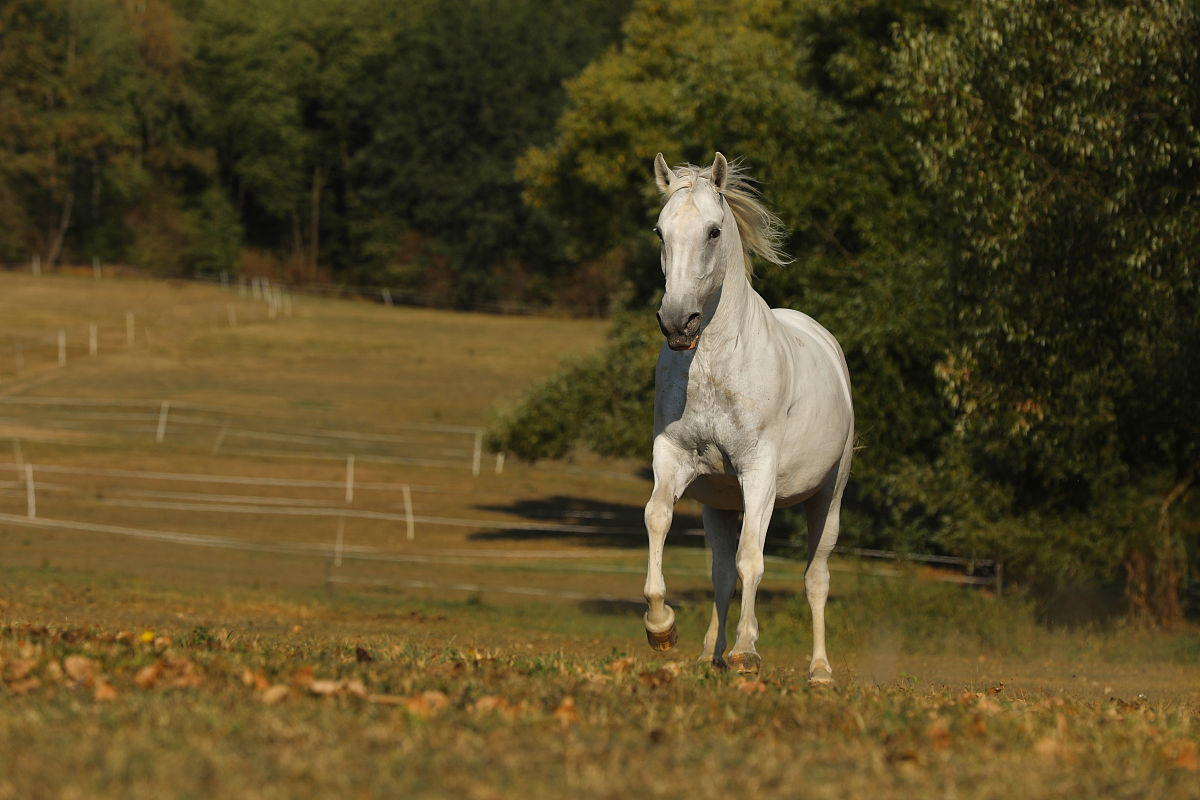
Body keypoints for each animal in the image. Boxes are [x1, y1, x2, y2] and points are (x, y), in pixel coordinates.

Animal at [642, 152, 854, 685]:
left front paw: (746, 651)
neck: (715, 364)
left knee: (816, 578)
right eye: (659, 231)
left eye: (714, 231)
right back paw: (707, 656)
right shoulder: (673, 458)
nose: (678, 323)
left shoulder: (759, 473)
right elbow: (658, 518)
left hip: (828, 496)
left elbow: (752, 560)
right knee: (720, 572)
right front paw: (661, 626)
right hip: (719, 504)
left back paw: (820, 671)